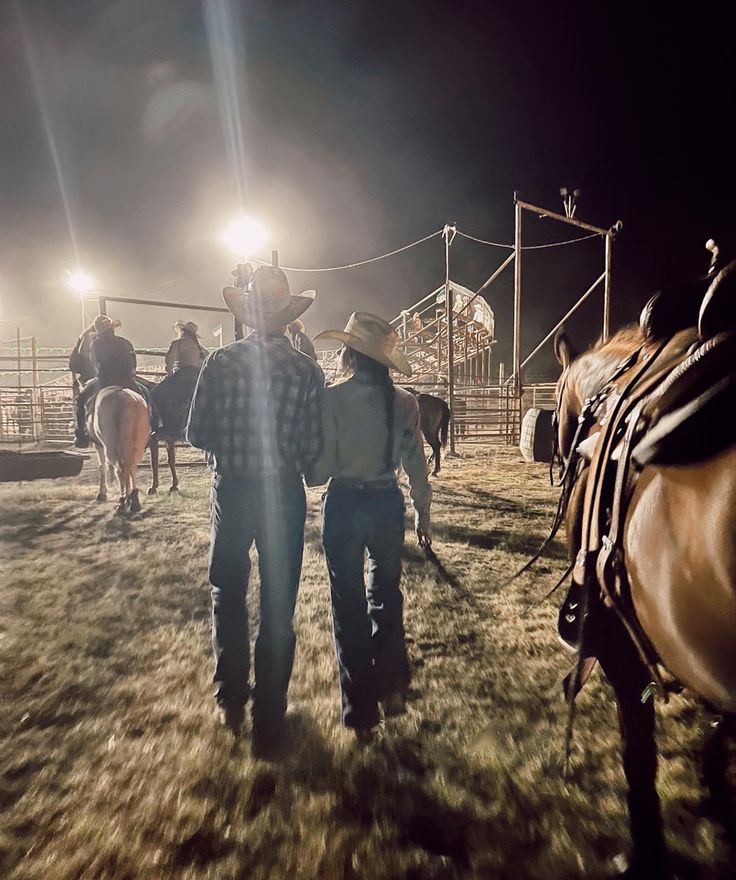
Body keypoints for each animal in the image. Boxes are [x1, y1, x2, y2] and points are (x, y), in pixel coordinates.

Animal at [87, 386, 149, 516]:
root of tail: (126, 399)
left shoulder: (99, 446)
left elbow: (102, 467)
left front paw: (102, 494)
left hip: (111, 447)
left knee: (120, 470)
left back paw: (122, 502)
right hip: (137, 445)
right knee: (131, 468)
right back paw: (134, 501)